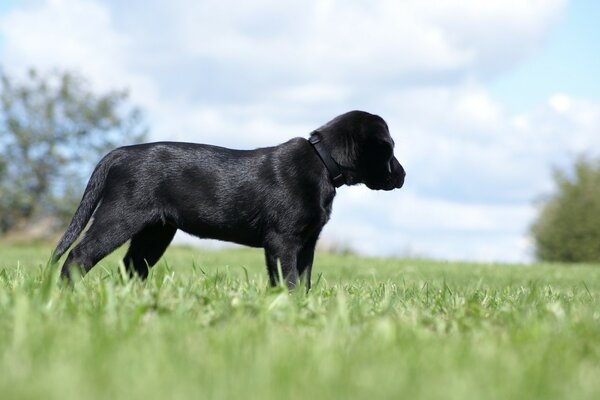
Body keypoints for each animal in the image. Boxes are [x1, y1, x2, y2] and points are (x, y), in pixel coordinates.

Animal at [52, 111, 408, 290]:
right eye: (390, 149)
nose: (404, 175)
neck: (323, 161)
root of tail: (119, 153)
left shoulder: (307, 241)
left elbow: (303, 278)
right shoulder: (283, 240)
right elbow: (290, 279)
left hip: (156, 232)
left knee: (132, 266)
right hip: (120, 217)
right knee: (78, 256)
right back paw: (65, 294)